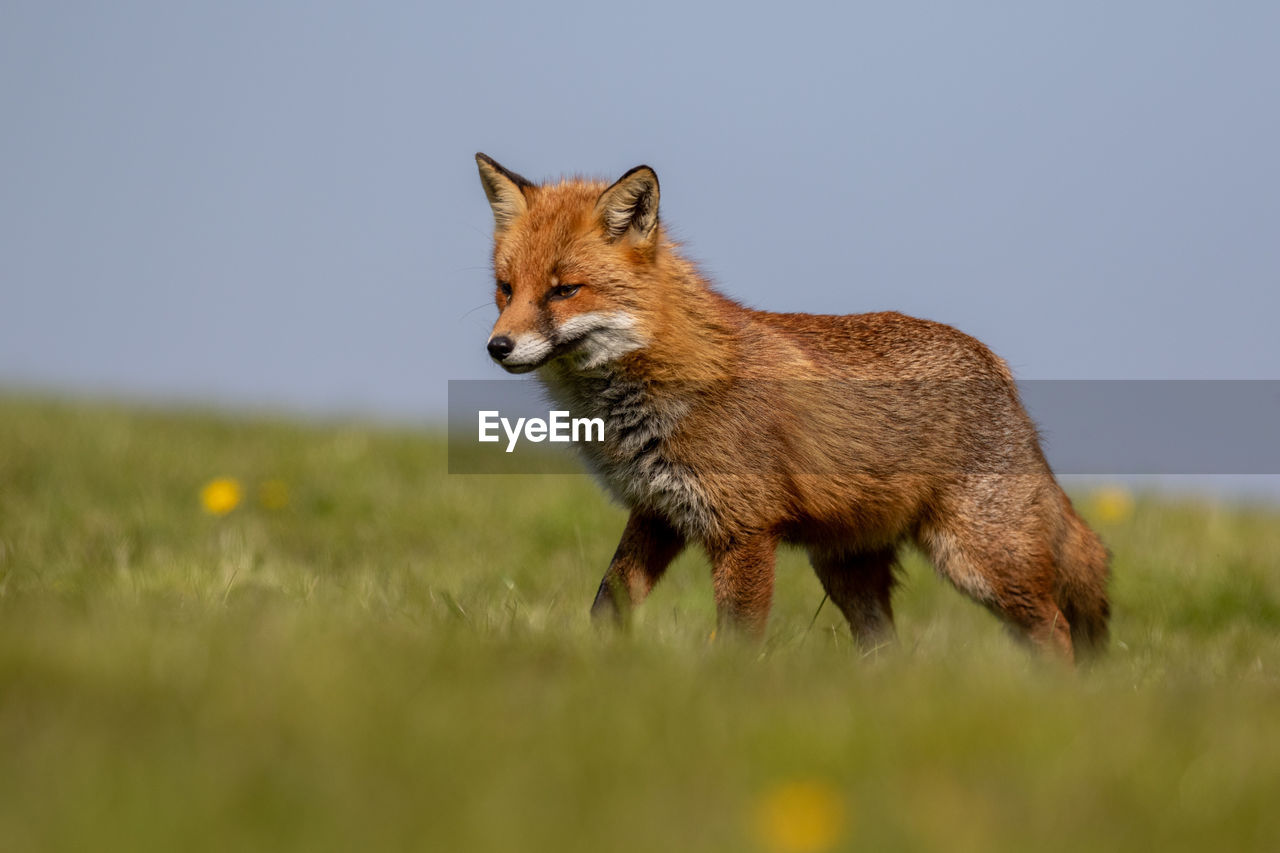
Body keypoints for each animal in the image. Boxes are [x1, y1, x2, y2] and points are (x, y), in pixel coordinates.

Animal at [476, 151, 1105, 655]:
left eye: (564, 290)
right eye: (506, 289)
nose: (497, 346)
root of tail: (997, 367)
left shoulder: (745, 529)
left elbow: (737, 637)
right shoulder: (659, 512)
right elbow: (608, 606)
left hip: (979, 559)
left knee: (1055, 627)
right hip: (846, 570)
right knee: (890, 651)